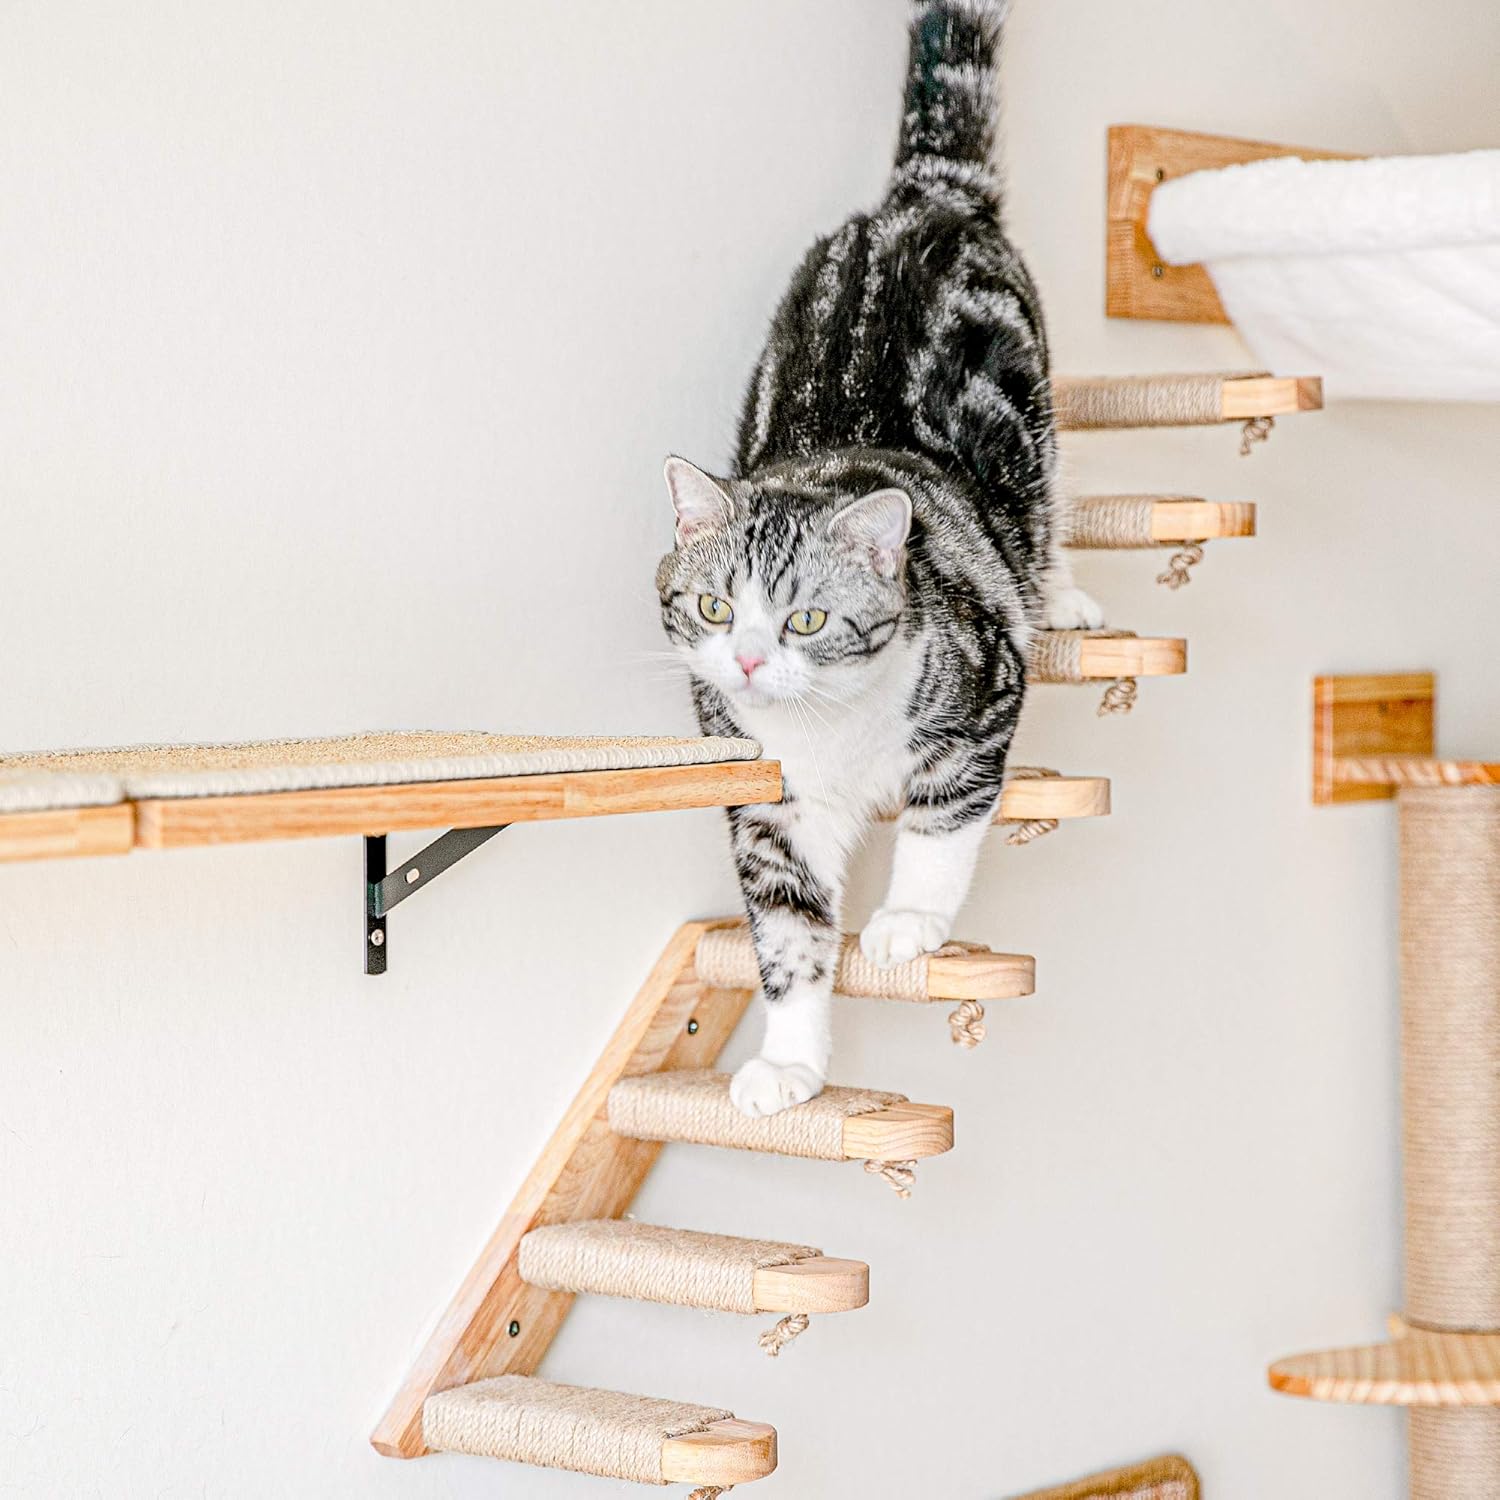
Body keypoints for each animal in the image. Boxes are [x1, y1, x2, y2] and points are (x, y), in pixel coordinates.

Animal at [657, 0, 1104, 1116]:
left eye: (808, 618)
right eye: (716, 610)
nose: (749, 662)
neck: (829, 738)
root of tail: (918, 204)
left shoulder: (985, 692)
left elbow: (943, 822)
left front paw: (907, 926)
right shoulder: (767, 807)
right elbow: (788, 936)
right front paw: (788, 1063)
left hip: (1035, 421)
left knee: (1050, 499)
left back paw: (1067, 594)